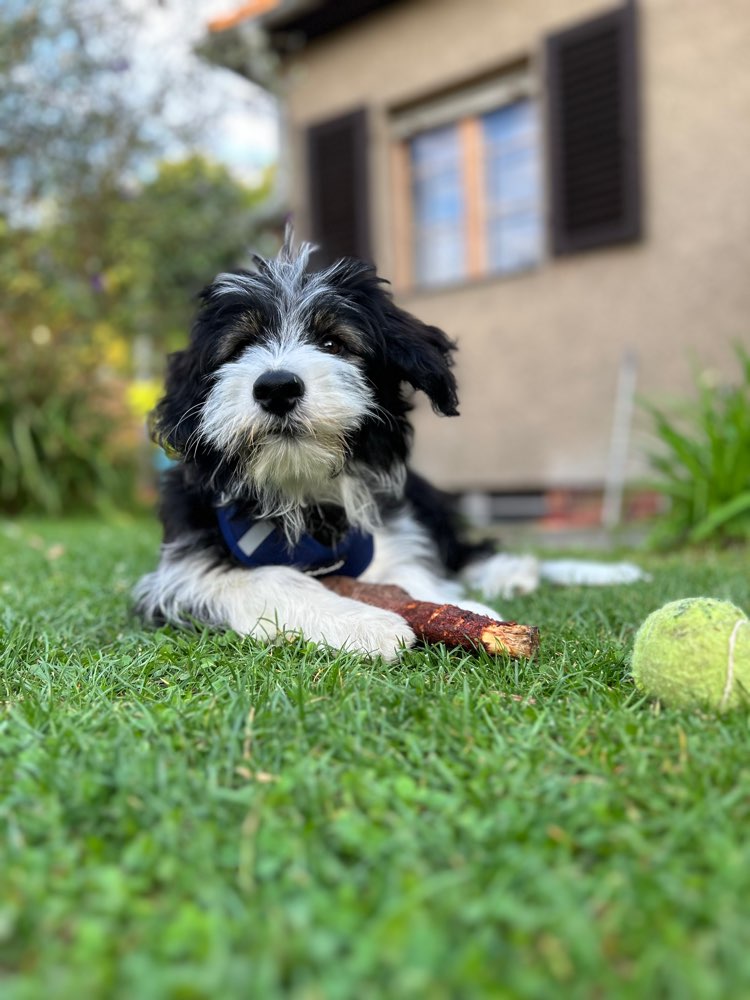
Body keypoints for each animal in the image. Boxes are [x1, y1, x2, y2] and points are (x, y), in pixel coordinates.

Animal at [135, 233, 640, 656]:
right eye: (239, 348)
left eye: (333, 343)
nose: (277, 388)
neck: (303, 491)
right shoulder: (182, 569)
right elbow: (265, 578)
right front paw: (362, 622)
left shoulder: (395, 531)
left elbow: (411, 572)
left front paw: (454, 608)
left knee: (465, 552)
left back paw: (512, 574)